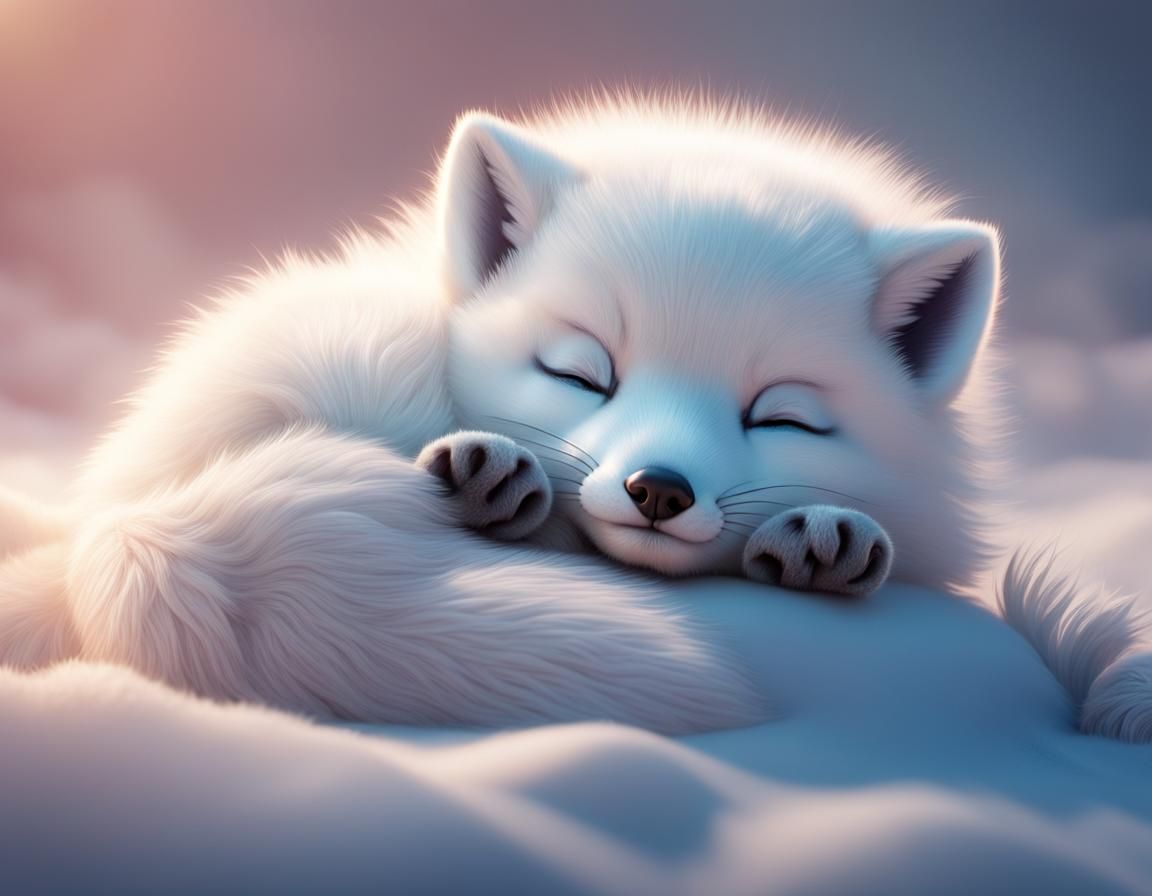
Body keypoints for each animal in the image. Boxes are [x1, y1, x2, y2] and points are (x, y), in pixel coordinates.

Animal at [1, 95, 1148, 739]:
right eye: (582, 372)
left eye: (780, 418)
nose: (658, 488)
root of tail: (121, 533)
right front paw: (493, 475)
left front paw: (828, 540)